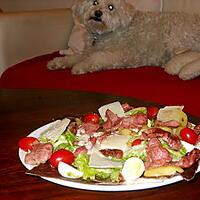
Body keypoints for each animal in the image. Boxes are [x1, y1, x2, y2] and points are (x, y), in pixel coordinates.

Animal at [47, 0, 200, 79]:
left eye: (111, 7)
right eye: (95, 2)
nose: (98, 13)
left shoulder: (121, 55)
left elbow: (97, 58)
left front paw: (80, 67)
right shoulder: (88, 51)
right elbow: (75, 57)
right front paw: (58, 62)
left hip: (174, 36)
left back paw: (185, 70)